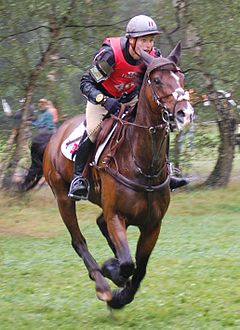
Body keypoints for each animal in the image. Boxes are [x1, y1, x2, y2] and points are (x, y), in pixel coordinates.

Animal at [42, 42, 194, 310]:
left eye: (181, 78)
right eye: (156, 80)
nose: (185, 114)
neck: (143, 164)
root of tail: (55, 135)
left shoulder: (153, 224)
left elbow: (139, 268)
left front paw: (121, 296)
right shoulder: (116, 216)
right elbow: (126, 264)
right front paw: (111, 274)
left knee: (100, 225)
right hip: (62, 197)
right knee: (78, 240)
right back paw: (102, 285)